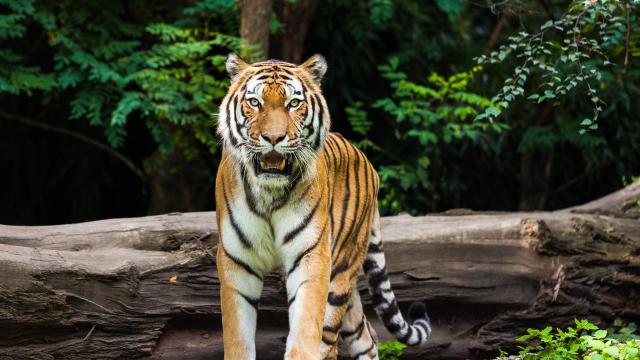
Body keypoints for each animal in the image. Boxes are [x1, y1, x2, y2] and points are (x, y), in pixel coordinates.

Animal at [214, 54, 430, 360]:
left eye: (294, 103)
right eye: (255, 102)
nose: (273, 138)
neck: (270, 194)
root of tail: (367, 161)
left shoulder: (312, 257)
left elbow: (305, 330)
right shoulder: (237, 261)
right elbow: (237, 339)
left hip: (340, 271)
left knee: (331, 338)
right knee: (367, 335)